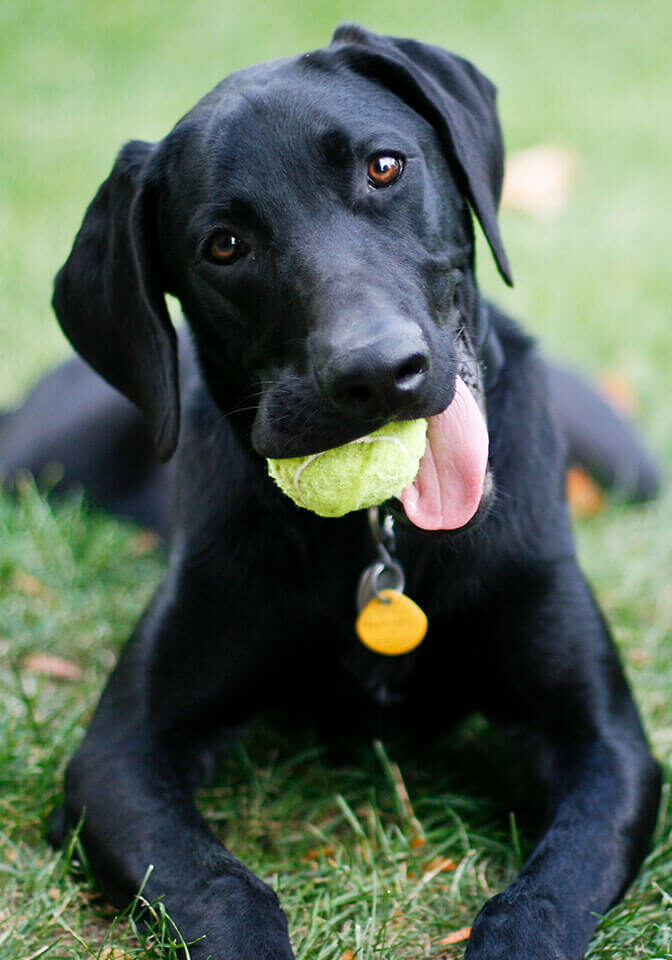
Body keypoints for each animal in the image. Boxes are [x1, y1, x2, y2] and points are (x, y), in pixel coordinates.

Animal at [0, 26, 660, 960]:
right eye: (224, 245)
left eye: (385, 168)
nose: (378, 373)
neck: (381, 534)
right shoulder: (119, 757)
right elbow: (220, 888)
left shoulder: (604, 744)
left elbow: (548, 892)